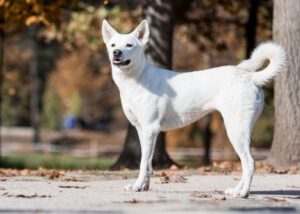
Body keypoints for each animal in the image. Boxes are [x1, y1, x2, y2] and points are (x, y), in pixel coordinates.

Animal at [102, 19, 288, 198]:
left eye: (129, 45)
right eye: (113, 45)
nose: (116, 52)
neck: (137, 78)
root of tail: (250, 77)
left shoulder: (150, 129)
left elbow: (142, 163)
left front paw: (137, 186)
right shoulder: (142, 130)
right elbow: (147, 163)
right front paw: (143, 187)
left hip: (235, 130)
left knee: (249, 163)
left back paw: (242, 193)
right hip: (240, 132)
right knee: (245, 163)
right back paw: (236, 190)